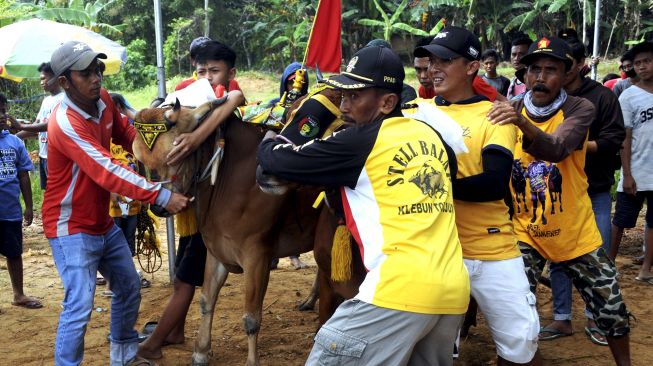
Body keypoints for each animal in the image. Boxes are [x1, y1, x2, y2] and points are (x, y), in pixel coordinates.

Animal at [134, 98, 322, 366]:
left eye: (177, 155)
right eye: (141, 161)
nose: (159, 207)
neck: (227, 175)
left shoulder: (257, 256)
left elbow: (251, 317)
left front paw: (252, 362)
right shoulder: (216, 250)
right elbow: (206, 300)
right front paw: (201, 351)